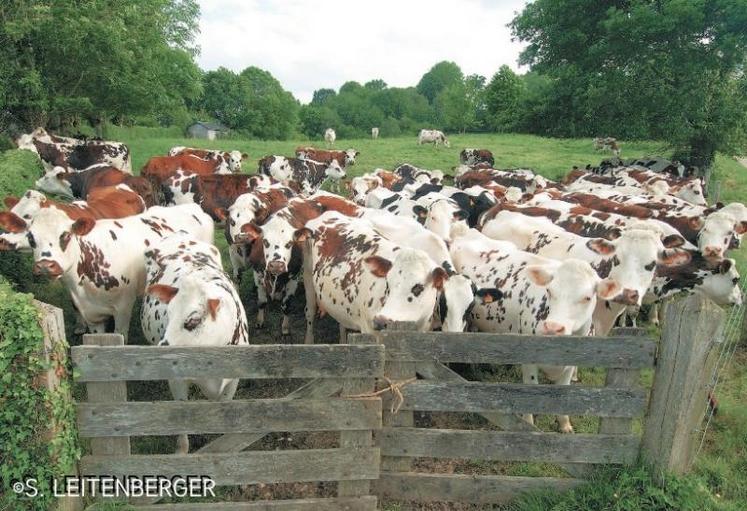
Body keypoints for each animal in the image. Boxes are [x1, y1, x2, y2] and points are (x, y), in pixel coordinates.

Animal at [143, 232, 251, 452]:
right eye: (169, 313)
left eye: (192, 320)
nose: (160, 351)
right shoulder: (176, 380)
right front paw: (182, 450)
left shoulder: (233, 380)